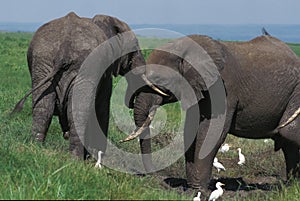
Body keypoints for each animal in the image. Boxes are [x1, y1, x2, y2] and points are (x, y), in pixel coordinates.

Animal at [12, 11, 146, 158]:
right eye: (135, 48)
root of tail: (64, 49)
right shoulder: (104, 73)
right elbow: (102, 108)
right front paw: (95, 157)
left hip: (42, 62)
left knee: (43, 108)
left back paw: (36, 149)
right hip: (84, 66)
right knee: (77, 112)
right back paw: (75, 159)